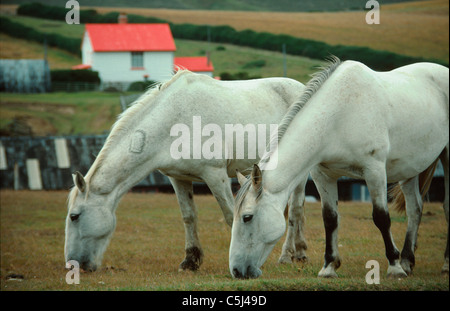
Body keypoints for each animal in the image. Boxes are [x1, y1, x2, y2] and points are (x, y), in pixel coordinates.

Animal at [65, 70, 308, 272]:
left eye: (74, 216)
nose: (73, 264)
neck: (172, 121)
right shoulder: (178, 178)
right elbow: (189, 216)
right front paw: (190, 261)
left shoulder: (215, 175)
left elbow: (231, 216)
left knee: (295, 210)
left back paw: (291, 255)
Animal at [230, 58, 448, 280]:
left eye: (247, 217)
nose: (237, 270)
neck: (340, 116)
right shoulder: (323, 176)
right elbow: (330, 218)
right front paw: (329, 266)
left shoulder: (375, 170)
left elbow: (381, 217)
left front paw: (394, 267)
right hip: (409, 169)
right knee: (414, 209)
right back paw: (407, 261)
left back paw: (440, 264)